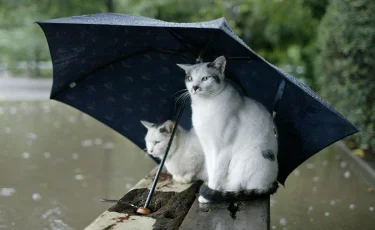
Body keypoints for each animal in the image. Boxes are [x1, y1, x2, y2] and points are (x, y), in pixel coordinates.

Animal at [178, 55, 280, 203]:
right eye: (190, 78)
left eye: (205, 78)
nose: (195, 87)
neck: (205, 105)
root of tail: (270, 184)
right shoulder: (207, 147)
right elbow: (211, 169)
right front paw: (209, 187)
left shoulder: (223, 149)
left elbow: (216, 173)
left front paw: (208, 194)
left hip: (249, 156)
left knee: (239, 187)